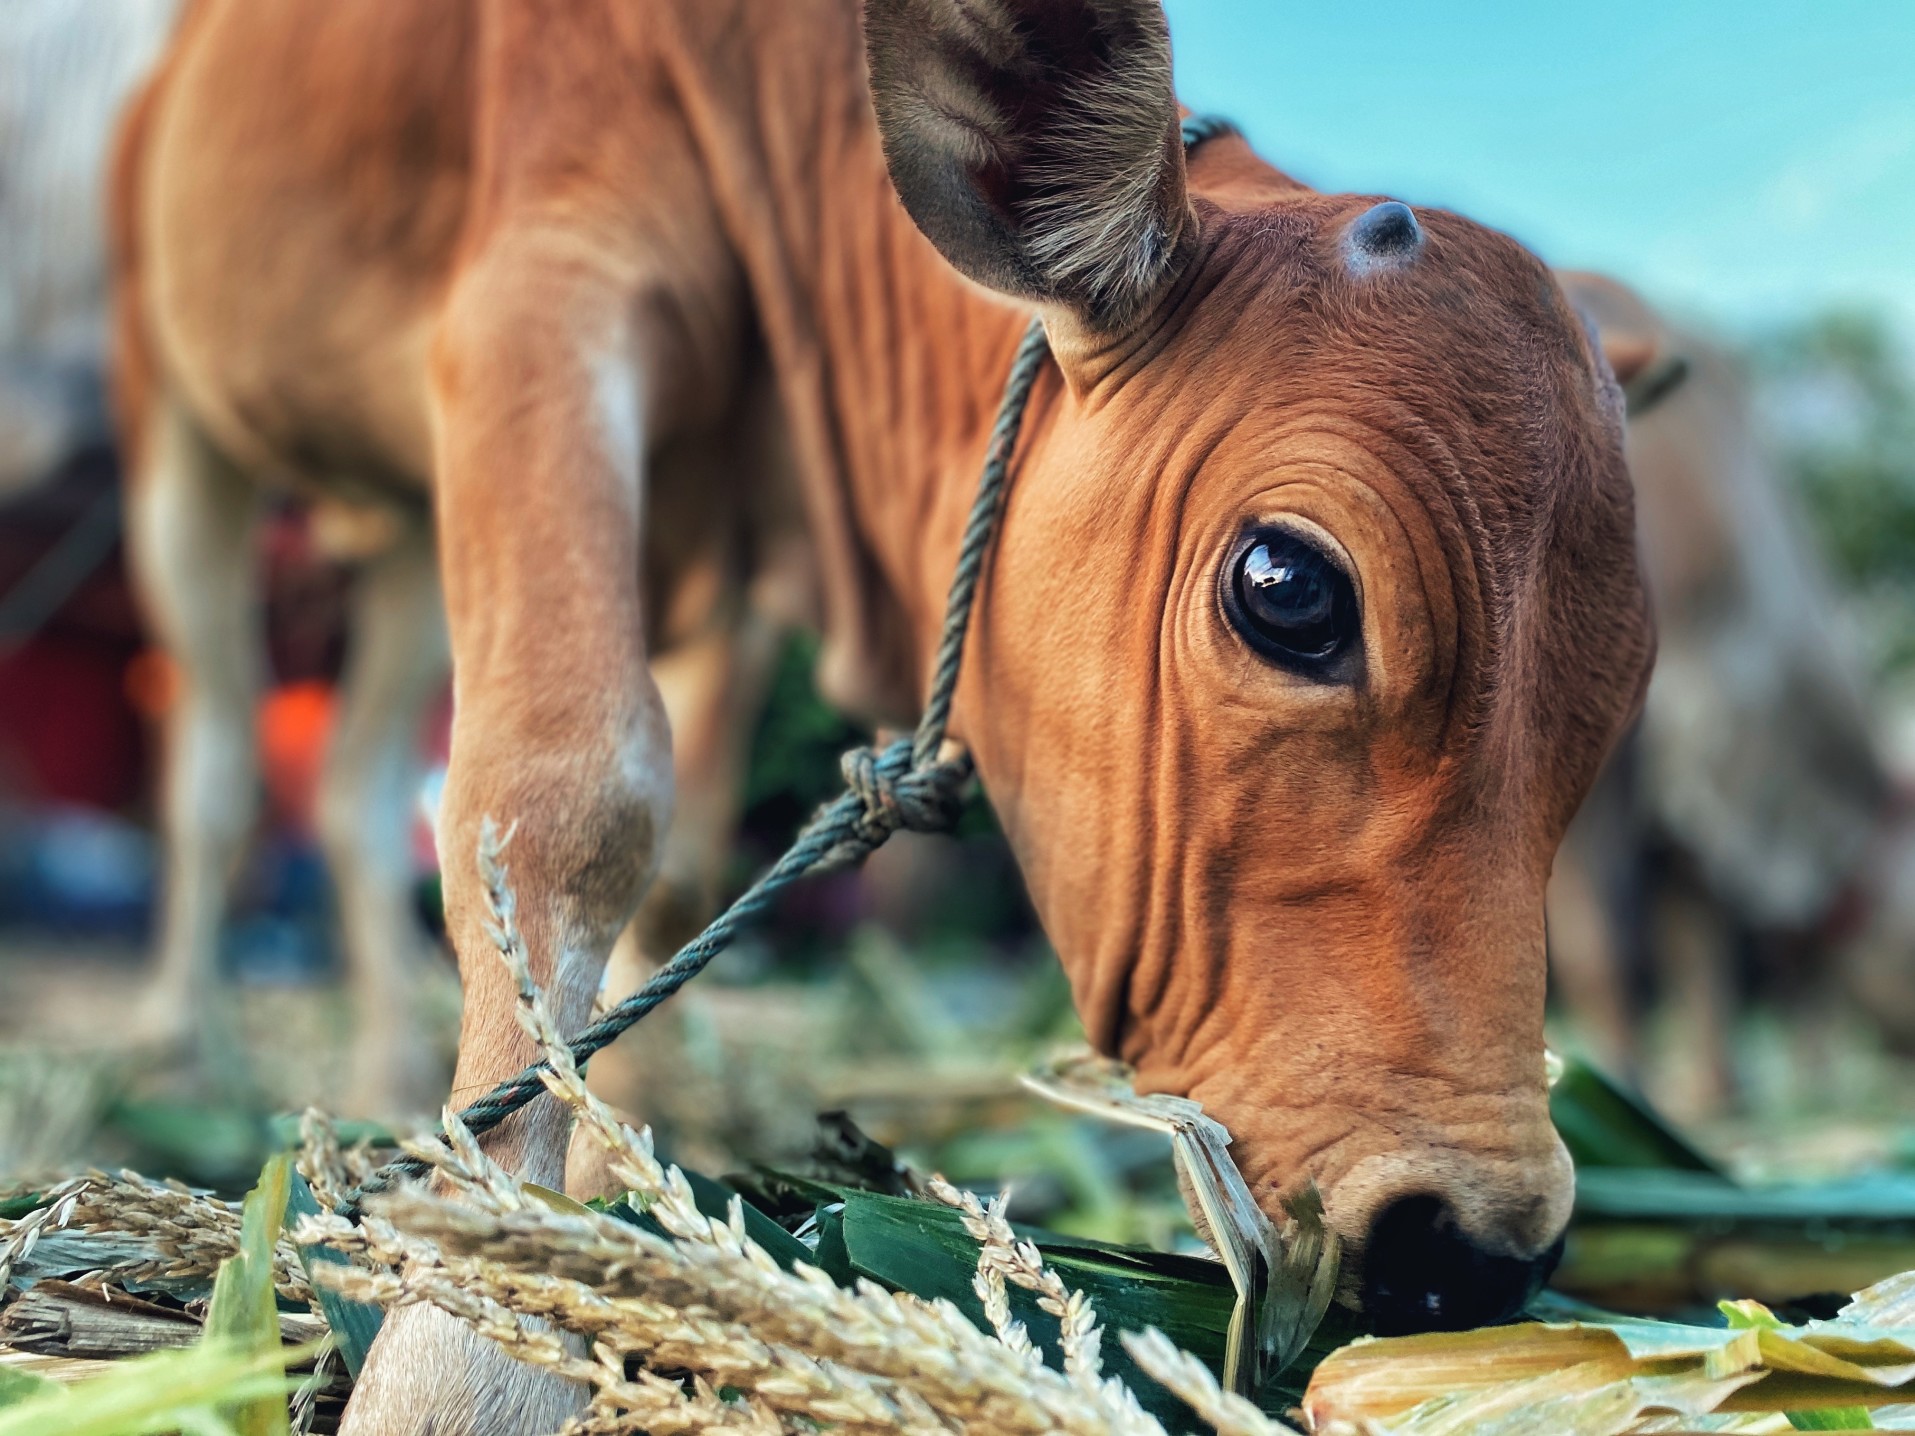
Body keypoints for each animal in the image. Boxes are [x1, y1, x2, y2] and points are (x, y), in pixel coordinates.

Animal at [119, 0, 1654, 1432]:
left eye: (1626, 683)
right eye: (1287, 587)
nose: (1474, 1247)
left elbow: (679, 863)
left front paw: (623, 1180)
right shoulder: (536, 302)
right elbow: (561, 792)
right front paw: (471, 1334)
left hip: (388, 535)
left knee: (348, 781)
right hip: (175, 426)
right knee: (214, 768)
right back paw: (189, 1039)